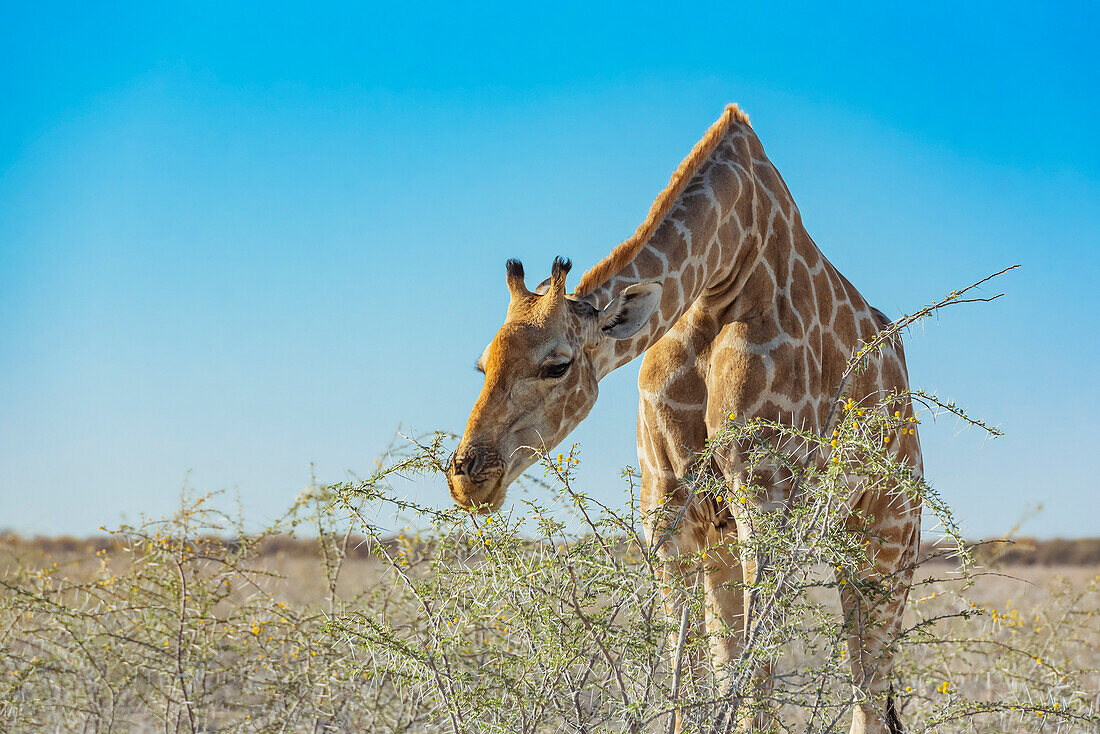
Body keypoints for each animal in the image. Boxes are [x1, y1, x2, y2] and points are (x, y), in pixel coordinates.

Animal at [446, 104, 919, 734]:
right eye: (482, 364)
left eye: (557, 364)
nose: (468, 475)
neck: (722, 273)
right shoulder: (669, 515)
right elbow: (688, 682)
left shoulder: (765, 503)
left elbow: (754, 688)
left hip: (888, 533)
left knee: (868, 685)